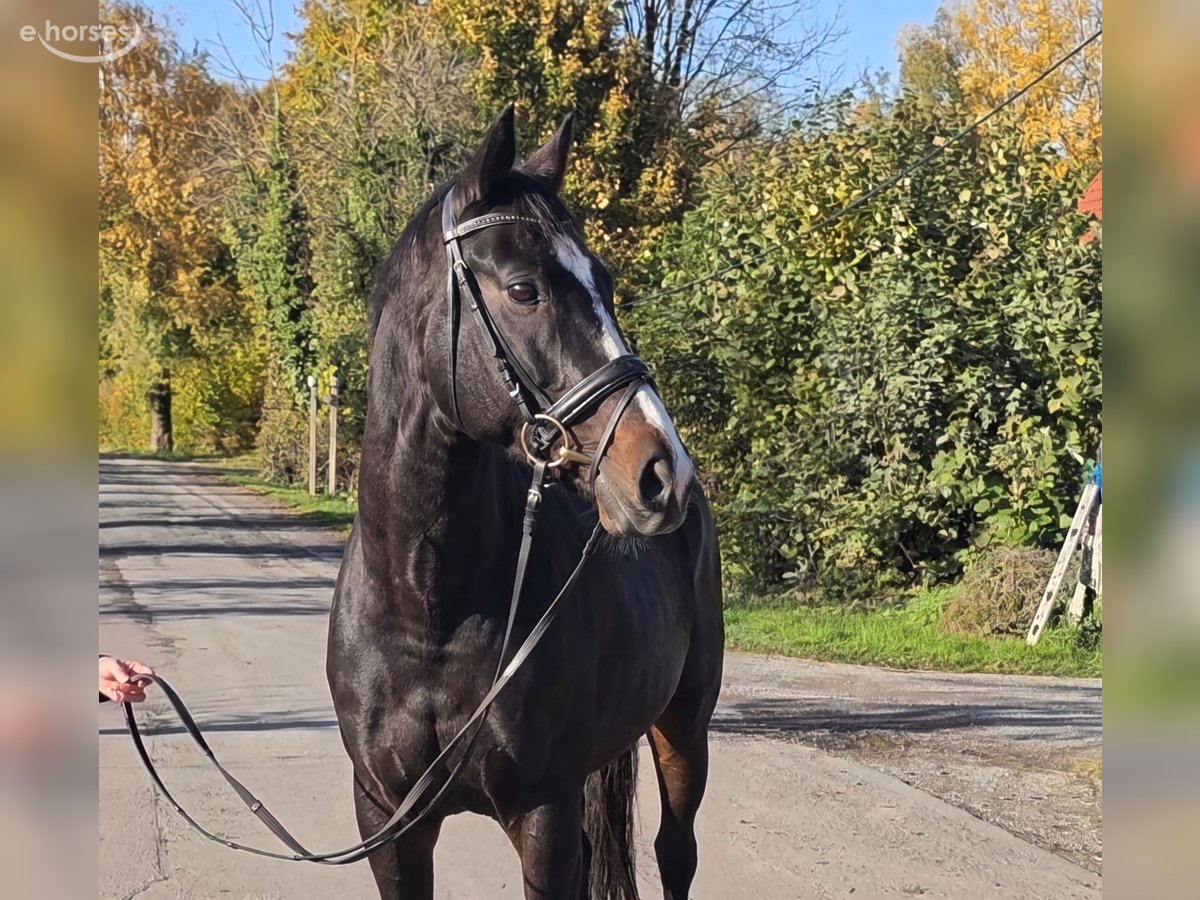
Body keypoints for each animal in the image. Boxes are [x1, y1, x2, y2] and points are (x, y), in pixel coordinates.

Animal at [326, 105, 723, 900]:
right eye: (522, 289)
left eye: (605, 282)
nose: (663, 474)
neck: (427, 605)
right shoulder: (386, 818)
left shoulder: (544, 815)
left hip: (683, 727)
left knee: (676, 852)